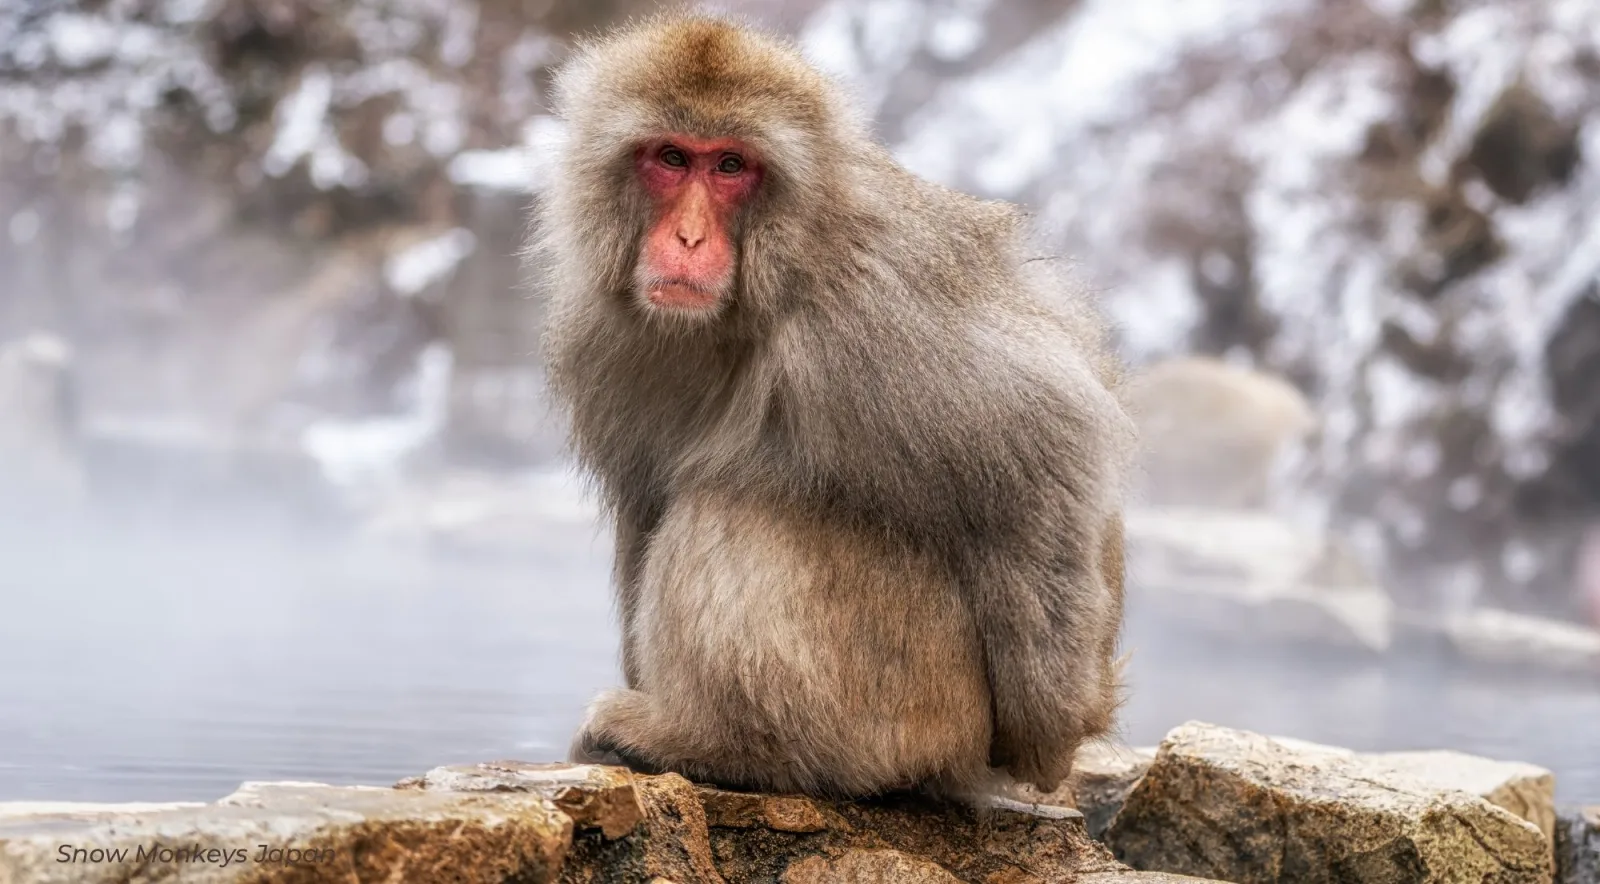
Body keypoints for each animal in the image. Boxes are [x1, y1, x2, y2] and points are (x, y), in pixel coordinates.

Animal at [531, 14, 1136, 800]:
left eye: (731, 166)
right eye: (670, 157)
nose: (688, 237)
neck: (764, 284)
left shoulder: (880, 298)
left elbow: (1050, 448)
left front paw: (1047, 741)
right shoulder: (598, 329)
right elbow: (644, 500)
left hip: (918, 702)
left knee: (733, 504)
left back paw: (720, 742)